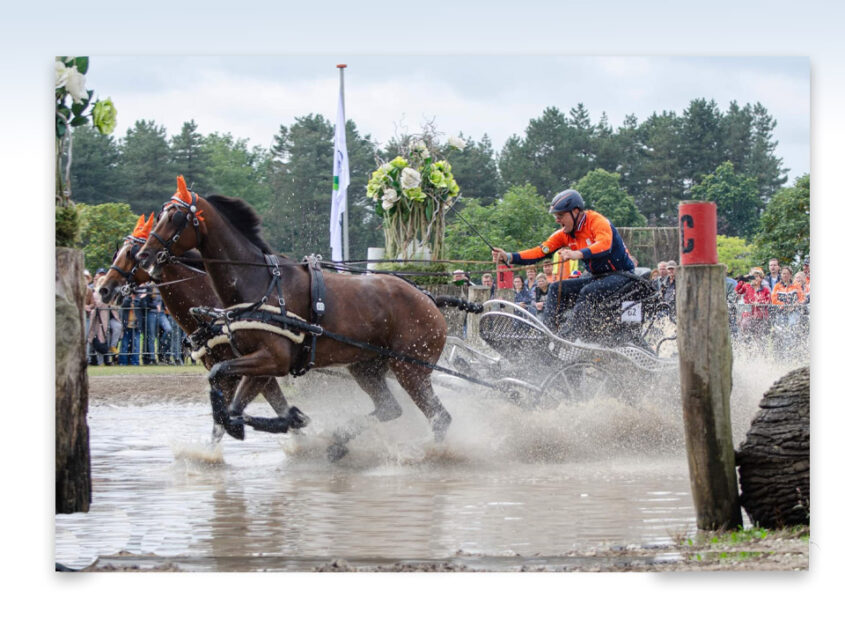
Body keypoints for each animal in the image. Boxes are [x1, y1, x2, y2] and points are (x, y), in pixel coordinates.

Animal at [137, 175, 454, 456]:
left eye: (175, 217)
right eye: (161, 214)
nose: (144, 255)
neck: (259, 283)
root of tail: (428, 299)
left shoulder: (273, 359)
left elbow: (228, 392)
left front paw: (284, 420)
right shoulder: (258, 362)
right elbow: (229, 399)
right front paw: (277, 421)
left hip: (410, 369)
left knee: (440, 417)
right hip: (367, 366)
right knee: (391, 408)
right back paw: (338, 442)